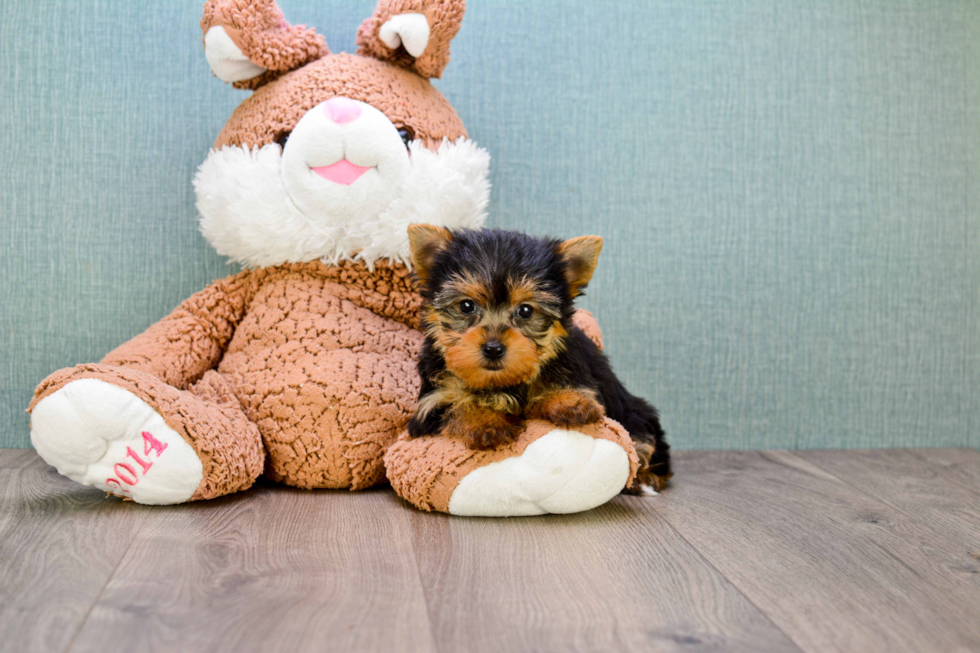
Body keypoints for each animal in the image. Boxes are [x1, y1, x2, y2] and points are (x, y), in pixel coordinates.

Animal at [406, 222, 672, 492]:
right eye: (466, 306)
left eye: (526, 311)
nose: (493, 348)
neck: (501, 383)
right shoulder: (433, 403)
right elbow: (458, 406)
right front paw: (485, 422)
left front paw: (569, 402)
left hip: (633, 411)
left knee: (644, 438)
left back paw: (648, 476)